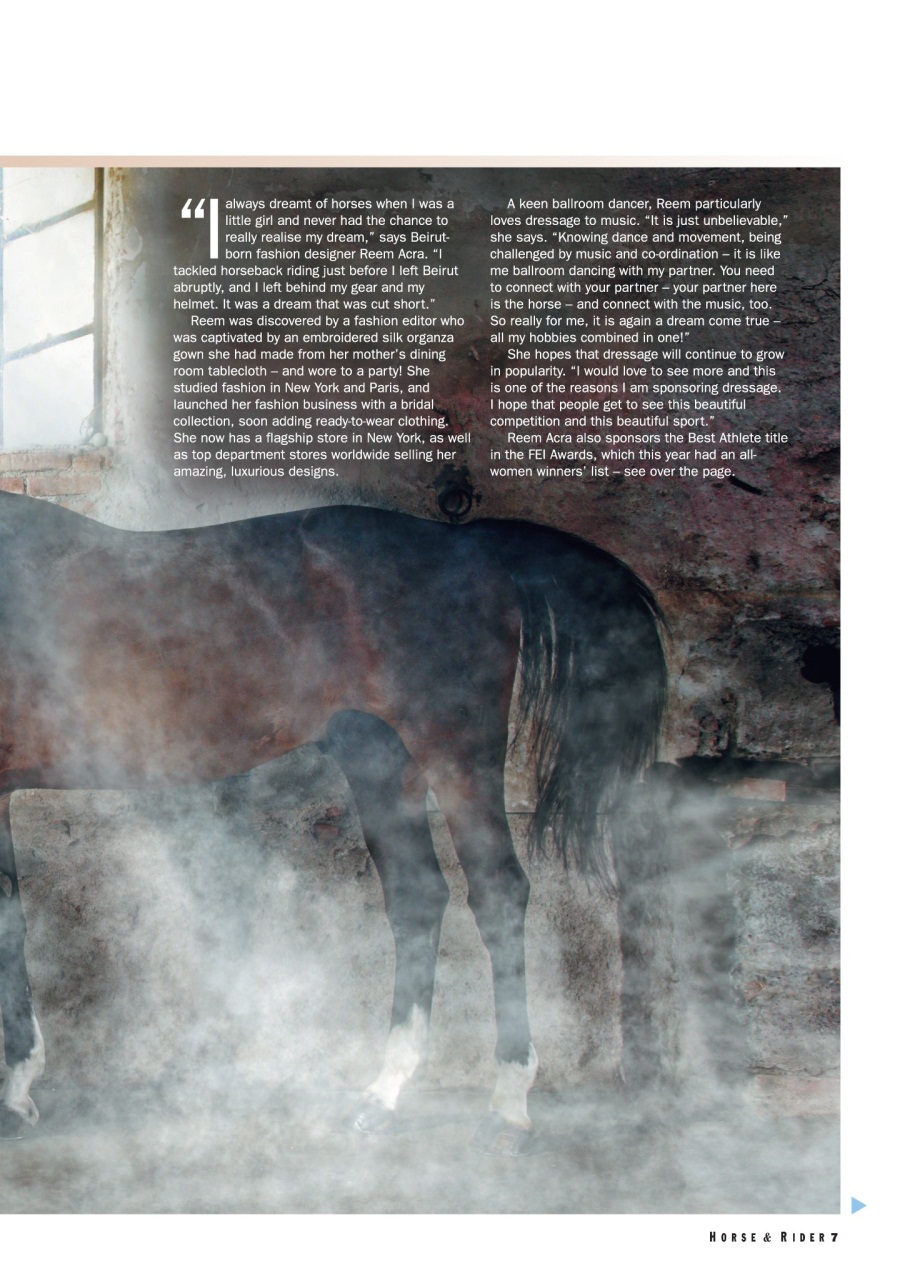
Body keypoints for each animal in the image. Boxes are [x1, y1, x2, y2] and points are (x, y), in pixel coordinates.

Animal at [0, 492, 666, 1153]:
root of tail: (466, 542)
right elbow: (11, 924)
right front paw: (17, 1091)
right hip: (381, 759)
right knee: (419, 900)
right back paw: (385, 1092)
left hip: (456, 754)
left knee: (499, 894)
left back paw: (507, 1102)